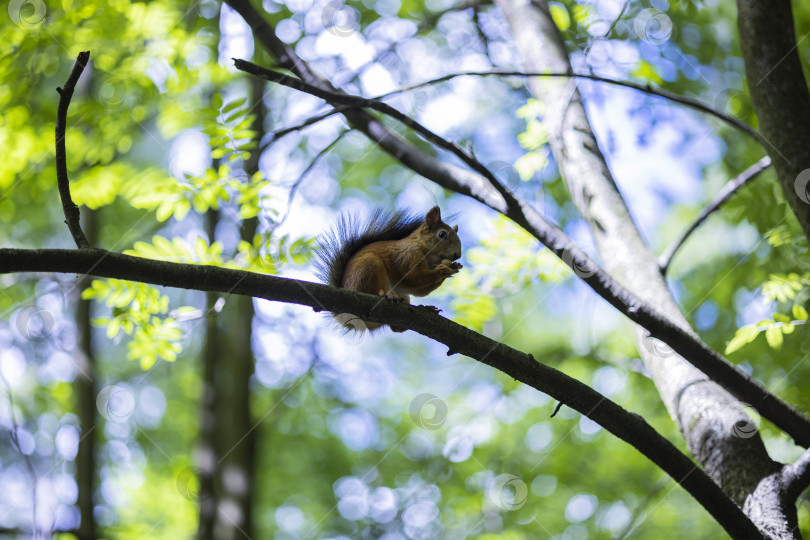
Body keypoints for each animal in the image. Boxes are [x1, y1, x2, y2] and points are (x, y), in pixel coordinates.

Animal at [315, 206, 462, 332]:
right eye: (442, 234)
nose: (458, 255)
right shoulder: (405, 256)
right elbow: (412, 277)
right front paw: (441, 271)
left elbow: (420, 291)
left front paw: (454, 267)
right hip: (368, 267)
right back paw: (387, 295)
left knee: (396, 328)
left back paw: (426, 309)